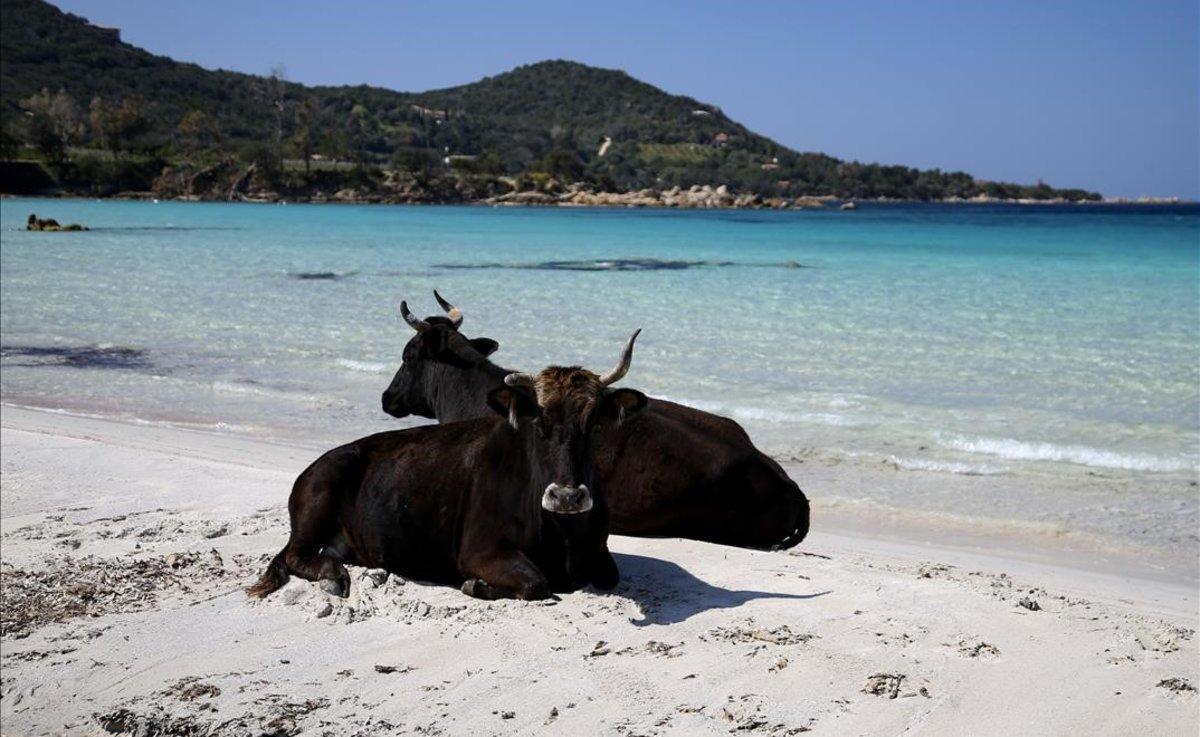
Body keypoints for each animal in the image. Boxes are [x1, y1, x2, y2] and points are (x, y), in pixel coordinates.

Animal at [244, 336, 652, 600]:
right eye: (538, 421)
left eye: (594, 422)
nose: (566, 497)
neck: (563, 534)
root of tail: (318, 462)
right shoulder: (477, 550)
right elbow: (536, 582)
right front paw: (476, 586)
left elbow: (609, 575)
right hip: (317, 500)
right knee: (294, 555)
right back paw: (332, 576)